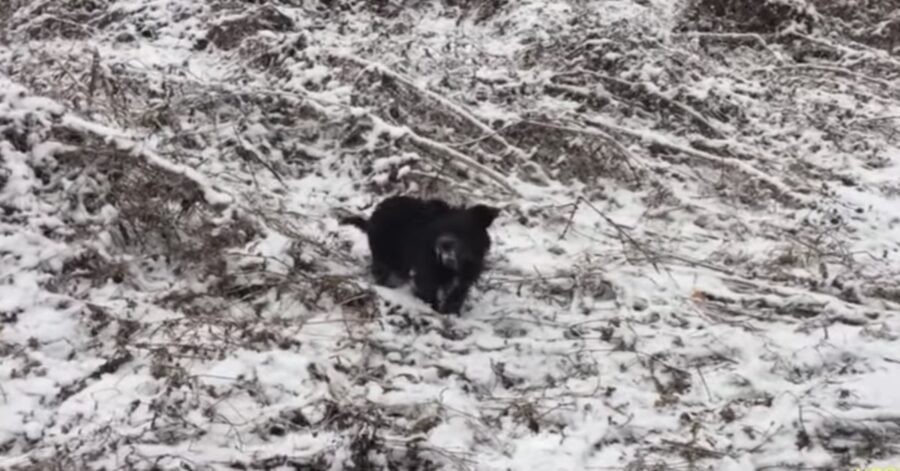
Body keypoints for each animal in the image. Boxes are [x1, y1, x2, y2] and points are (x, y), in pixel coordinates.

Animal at [342, 195, 500, 314]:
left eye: (464, 230)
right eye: (441, 227)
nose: (444, 243)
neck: (451, 263)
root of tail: (375, 213)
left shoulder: (466, 276)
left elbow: (456, 296)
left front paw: (450, 313)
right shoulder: (427, 272)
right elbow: (429, 293)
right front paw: (432, 310)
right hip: (385, 254)